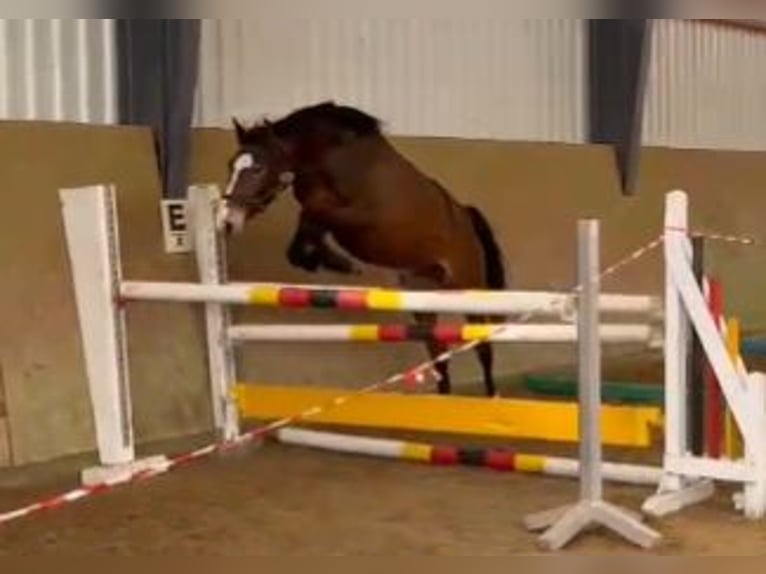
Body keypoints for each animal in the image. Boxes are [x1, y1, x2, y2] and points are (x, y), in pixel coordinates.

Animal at [218, 101, 509, 397]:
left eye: (258, 169)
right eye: (231, 165)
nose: (227, 222)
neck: (334, 159)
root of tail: (466, 217)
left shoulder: (361, 218)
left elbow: (313, 216)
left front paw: (339, 263)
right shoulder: (322, 212)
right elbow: (304, 234)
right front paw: (326, 260)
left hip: (468, 288)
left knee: (482, 347)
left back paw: (491, 396)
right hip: (422, 291)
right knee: (438, 351)